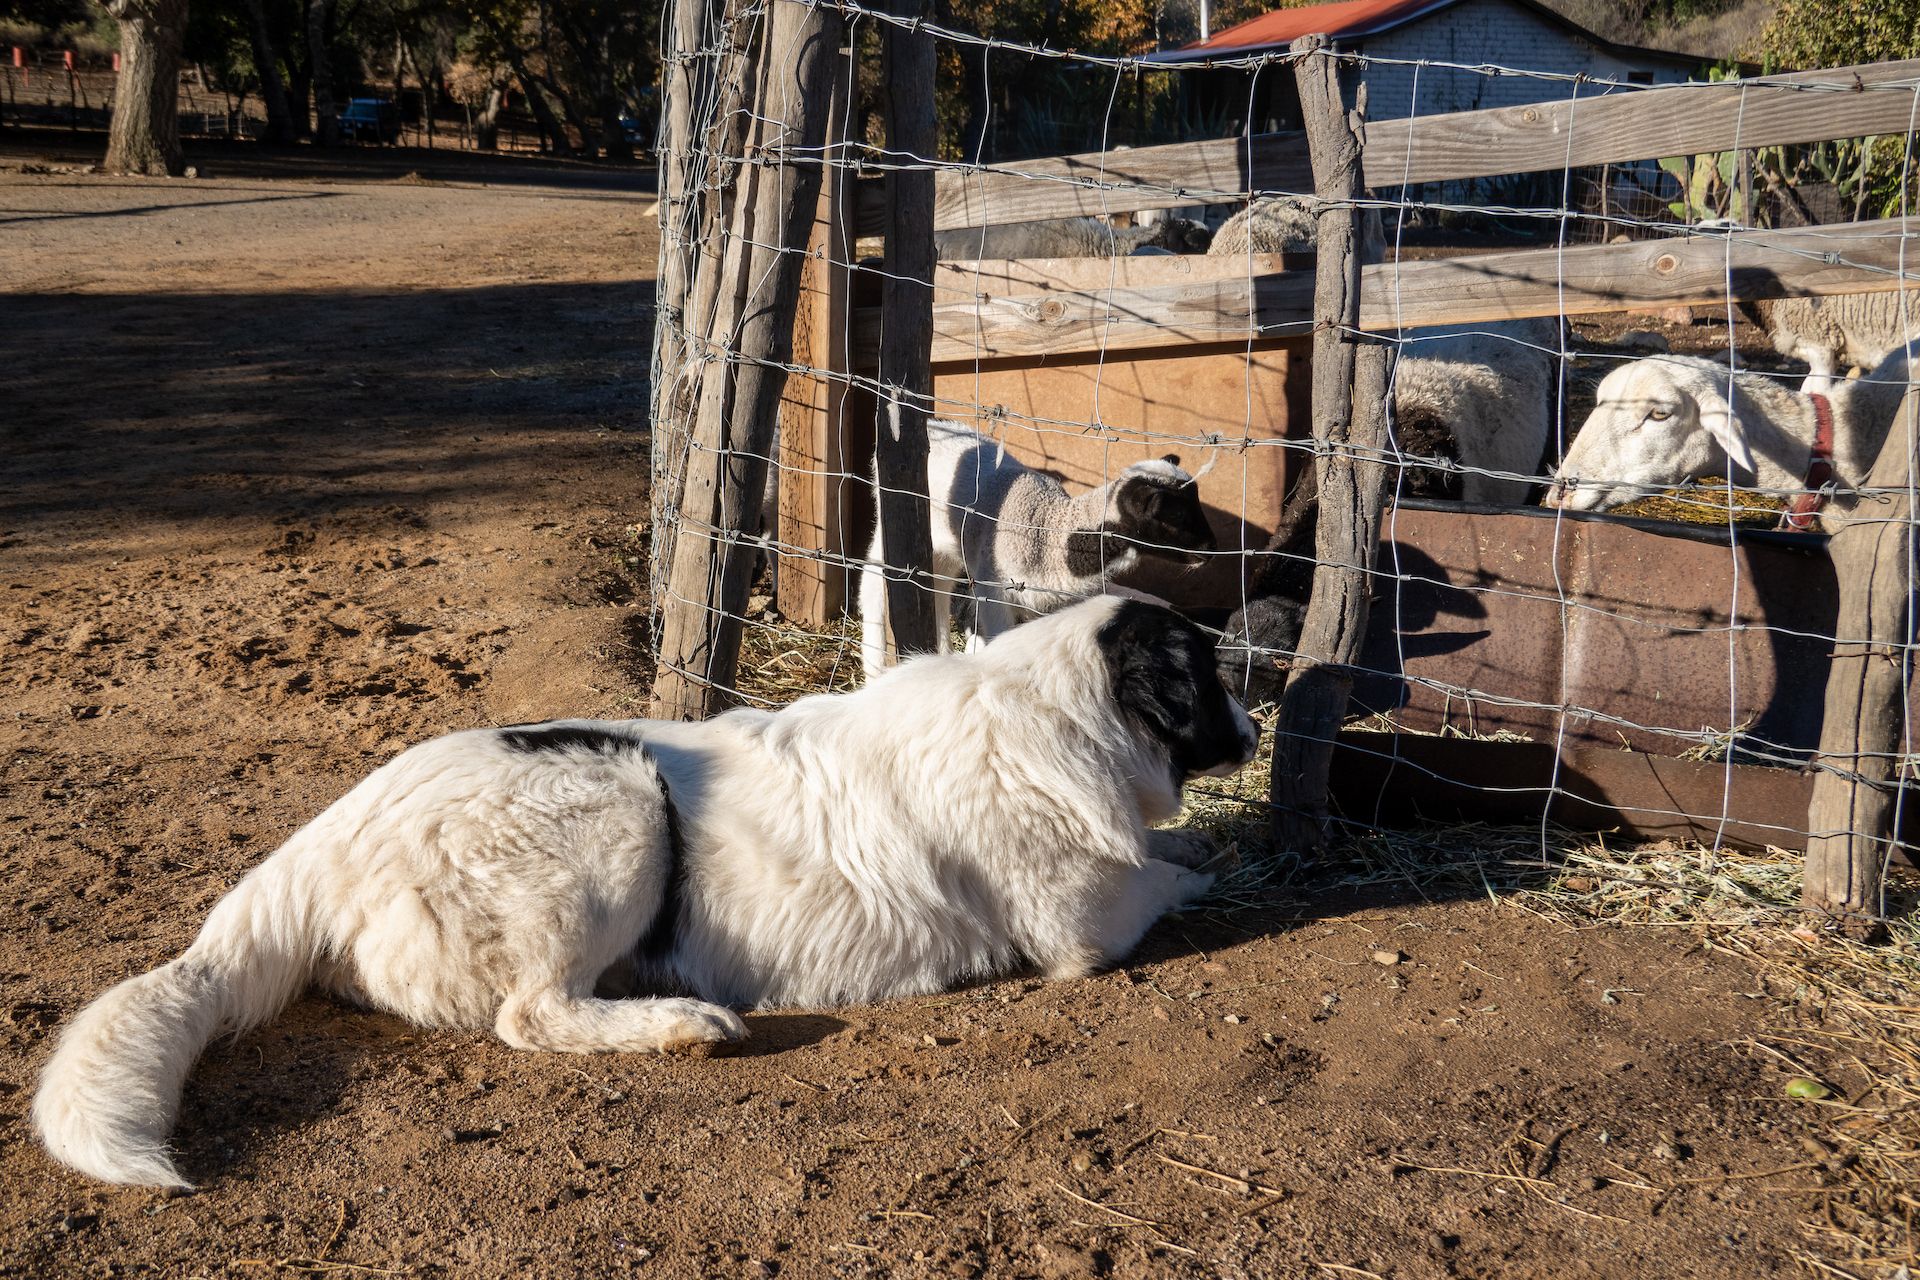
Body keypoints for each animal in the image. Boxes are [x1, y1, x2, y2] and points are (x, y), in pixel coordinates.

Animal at [33, 602, 1259, 1189]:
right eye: (1210, 679)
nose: (1256, 729)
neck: (1059, 713)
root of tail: (322, 839)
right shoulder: (1084, 929)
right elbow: (1178, 867)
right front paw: (1225, 854)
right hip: (620, 804)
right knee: (533, 1015)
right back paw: (684, 1026)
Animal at [860, 422, 1213, 679]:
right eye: (1176, 516)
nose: (1212, 549)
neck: (1050, 526)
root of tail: (935, 425)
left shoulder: (1044, 602)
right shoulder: (995, 594)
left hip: (946, 545)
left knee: (940, 588)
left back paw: (938, 656)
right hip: (888, 515)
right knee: (873, 580)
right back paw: (875, 665)